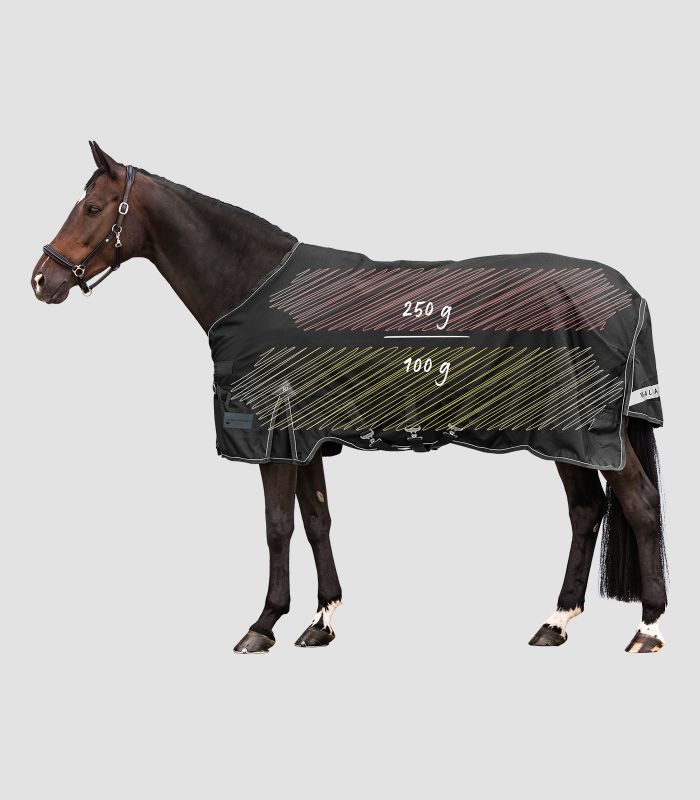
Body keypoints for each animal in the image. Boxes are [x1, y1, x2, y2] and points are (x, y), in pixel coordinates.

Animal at [31, 142, 668, 654]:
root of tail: (630, 296)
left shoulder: (272, 438)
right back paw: (555, 623)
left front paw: (263, 625)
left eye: (92, 208)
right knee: (585, 511)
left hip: (588, 432)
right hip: (566, 436)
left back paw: (648, 629)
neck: (254, 286)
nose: (41, 279)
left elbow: (277, 527)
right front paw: (321, 621)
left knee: (638, 503)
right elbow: (317, 520)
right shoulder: (307, 439)